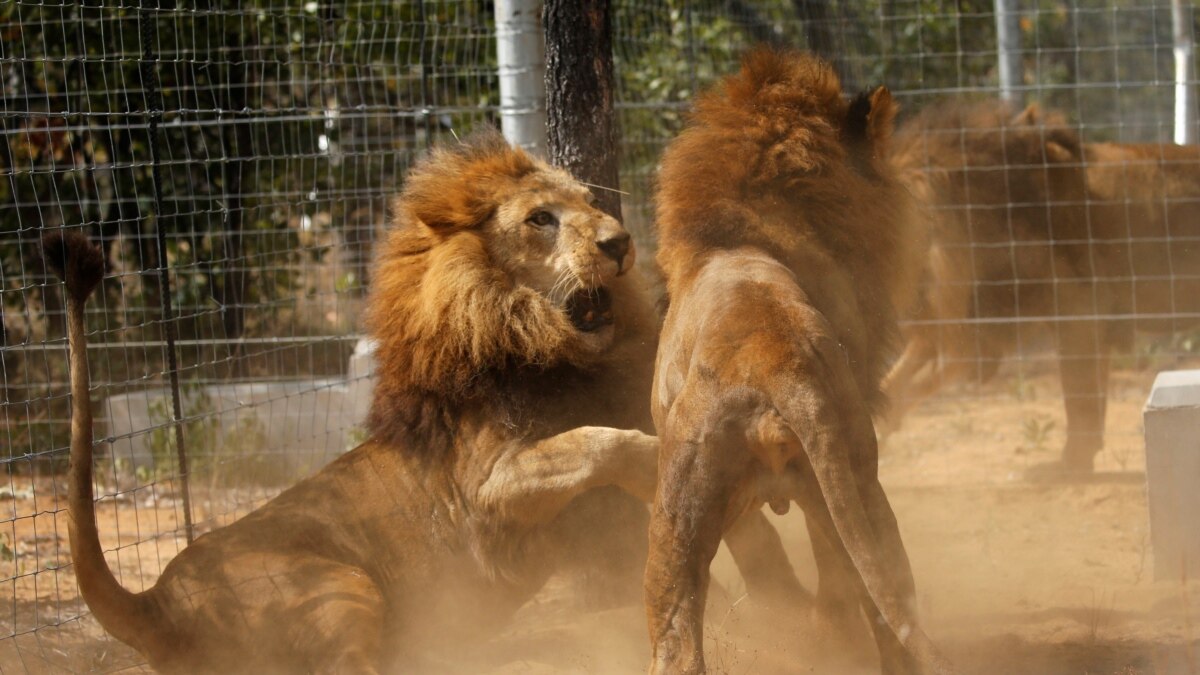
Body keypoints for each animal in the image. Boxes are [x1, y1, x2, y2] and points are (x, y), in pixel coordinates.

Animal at [51, 132, 672, 672]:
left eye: (589, 201)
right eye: (540, 218)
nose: (620, 242)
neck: (550, 345)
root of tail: (156, 601)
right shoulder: (488, 493)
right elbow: (592, 443)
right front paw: (654, 461)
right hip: (340, 586)